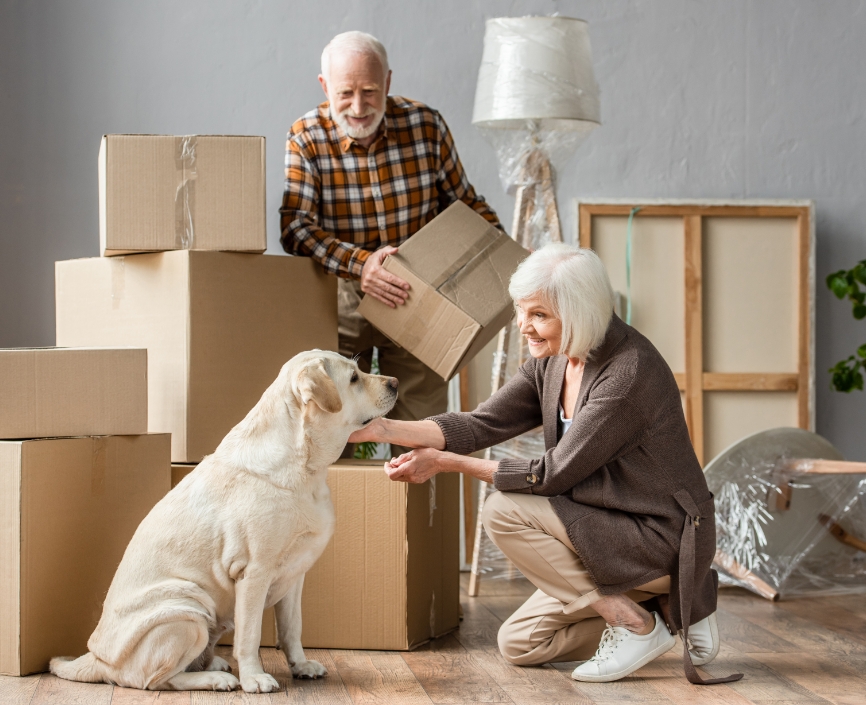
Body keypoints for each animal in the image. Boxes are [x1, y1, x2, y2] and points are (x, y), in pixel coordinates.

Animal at [50, 350, 394, 692]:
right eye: (354, 378)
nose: (394, 382)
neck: (306, 467)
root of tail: (96, 659)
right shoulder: (254, 571)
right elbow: (249, 636)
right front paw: (254, 678)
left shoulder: (296, 575)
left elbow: (292, 628)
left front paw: (301, 665)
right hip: (187, 609)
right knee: (157, 680)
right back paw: (217, 678)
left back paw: (213, 663)